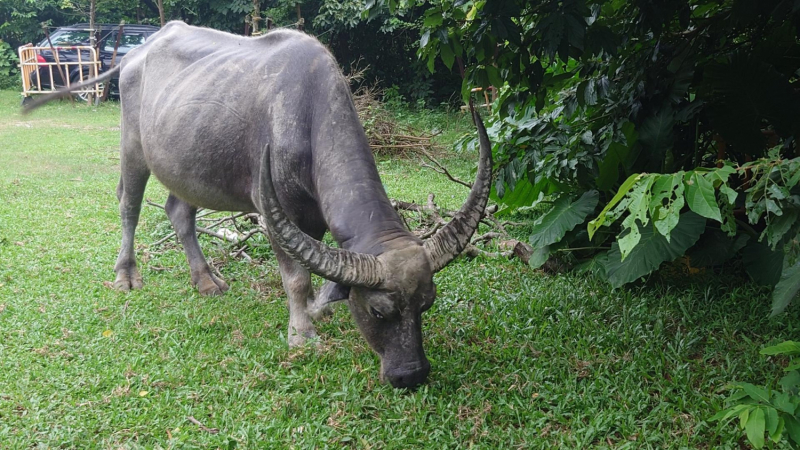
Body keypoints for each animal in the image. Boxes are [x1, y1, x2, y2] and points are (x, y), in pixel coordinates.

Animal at [25, 21, 494, 388]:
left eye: (426, 304)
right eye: (379, 311)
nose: (410, 375)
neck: (307, 112)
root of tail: (140, 51)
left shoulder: (312, 219)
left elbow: (316, 274)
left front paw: (319, 309)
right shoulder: (277, 213)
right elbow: (296, 279)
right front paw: (302, 334)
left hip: (189, 165)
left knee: (179, 212)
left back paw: (206, 280)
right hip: (133, 147)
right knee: (129, 204)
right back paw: (126, 275)